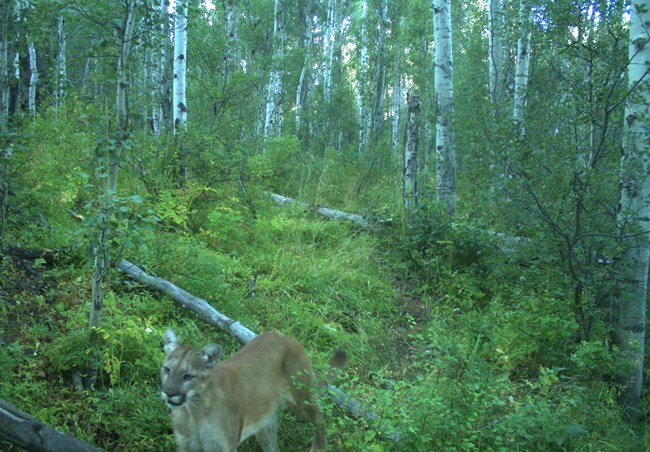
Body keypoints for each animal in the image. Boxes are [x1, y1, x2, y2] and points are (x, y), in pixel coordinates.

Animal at [160, 328, 346, 452]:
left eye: (188, 376)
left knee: (320, 417)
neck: (193, 412)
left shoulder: (223, 448)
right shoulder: (185, 446)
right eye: (167, 369)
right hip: (265, 424)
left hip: (302, 399)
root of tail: (286, 337)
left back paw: (318, 447)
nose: (168, 393)